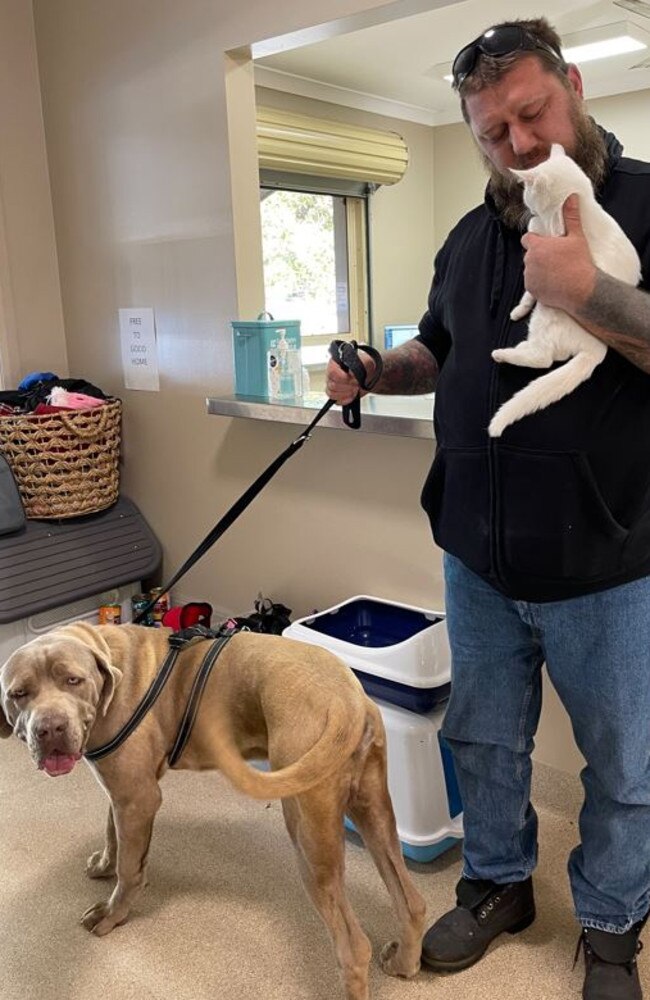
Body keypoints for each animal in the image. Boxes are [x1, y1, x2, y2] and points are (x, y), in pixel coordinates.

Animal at [0, 620, 426, 996]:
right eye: (19, 693)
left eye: (73, 680)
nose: (50, 729)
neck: (108, 663)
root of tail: (348, 701)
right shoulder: (119, 789)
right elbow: (111, 832)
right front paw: (104, 864)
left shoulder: (138, 796)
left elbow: (129, 868)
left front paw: (112, 913)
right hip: (373, 811)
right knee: (412, 902)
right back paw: (404, 962)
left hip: (309, 834)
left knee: (353, 946)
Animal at [486, 142, 636, 438]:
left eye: (527, 190)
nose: (525, 200)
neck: (580, 203)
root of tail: (597, 349)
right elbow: (527, 293)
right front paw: (518, 311)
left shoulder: (542, 250)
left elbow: (530, 277)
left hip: (547, 315)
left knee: (543, 358)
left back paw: (503, 354)